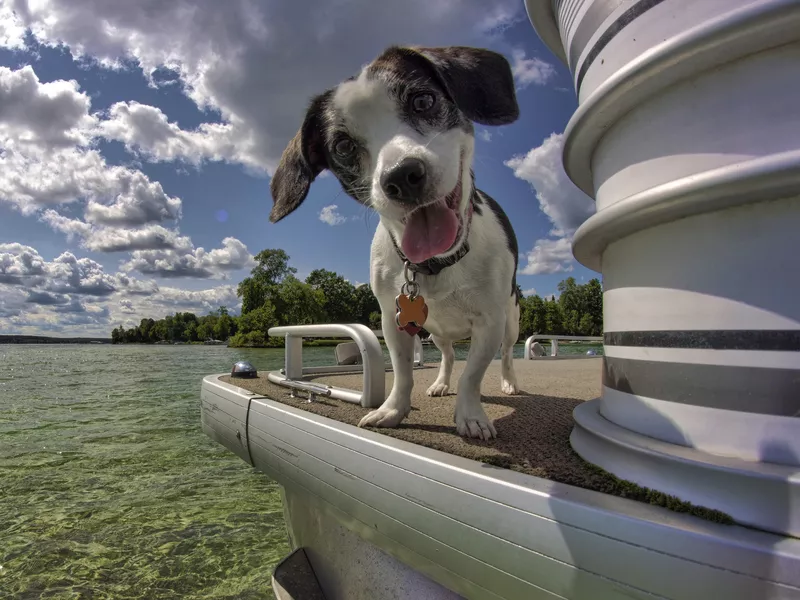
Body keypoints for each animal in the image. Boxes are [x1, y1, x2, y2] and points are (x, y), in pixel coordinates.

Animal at [268, 45, 520, 440]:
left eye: (423, 100)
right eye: (343, 145)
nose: (402, 176)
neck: (436, 263)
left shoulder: (490, 321)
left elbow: (473, 376)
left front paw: (471, 416)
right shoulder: (394, 320)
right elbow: (402, 373)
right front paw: (393, 410)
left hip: (510, 321)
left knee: (507, 354)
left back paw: (509, 382)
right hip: (436, 330)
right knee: (448, 355)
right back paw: (441, 382)